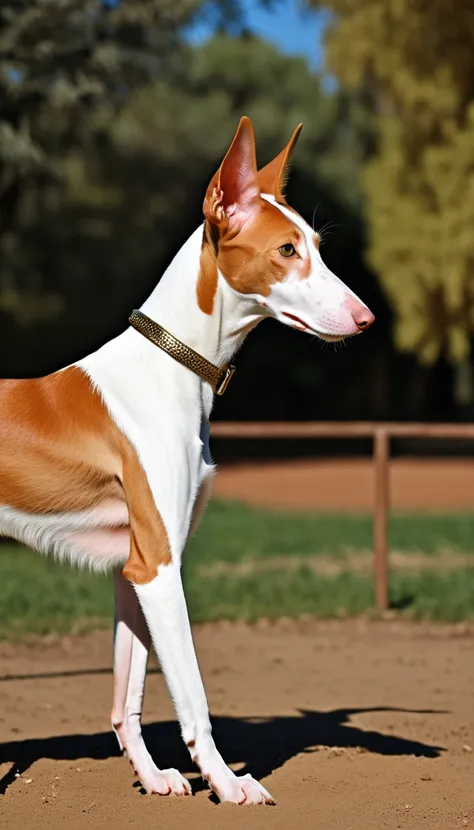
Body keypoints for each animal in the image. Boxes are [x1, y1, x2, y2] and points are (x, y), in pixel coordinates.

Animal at [0, 118, 374, 808]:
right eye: (286, 250)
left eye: (316, 245)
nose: (367, 318)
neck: (172, 367)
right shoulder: (159, 566)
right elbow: (192, 696)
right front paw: (227, 783)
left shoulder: (133, 567)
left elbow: (128, 697)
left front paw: (152, 778)